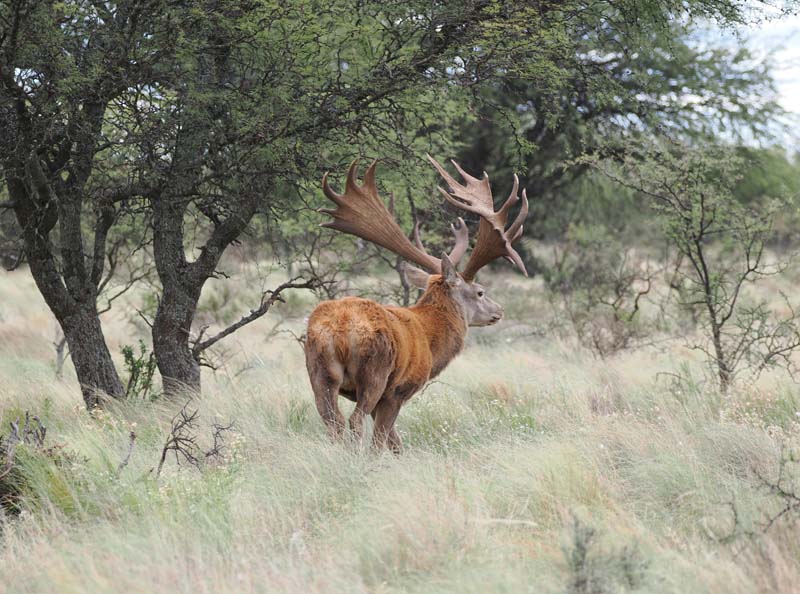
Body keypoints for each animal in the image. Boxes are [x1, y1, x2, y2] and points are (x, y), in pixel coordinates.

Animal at [305, 155, 528, 451]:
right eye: (480, 292)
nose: (499, 311)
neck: (429, 337)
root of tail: (338, 332)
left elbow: (395, 441)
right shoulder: (399, 389)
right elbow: (386, 438)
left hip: (318, 371)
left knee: (332, 422)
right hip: (375, 372)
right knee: (354, 422)